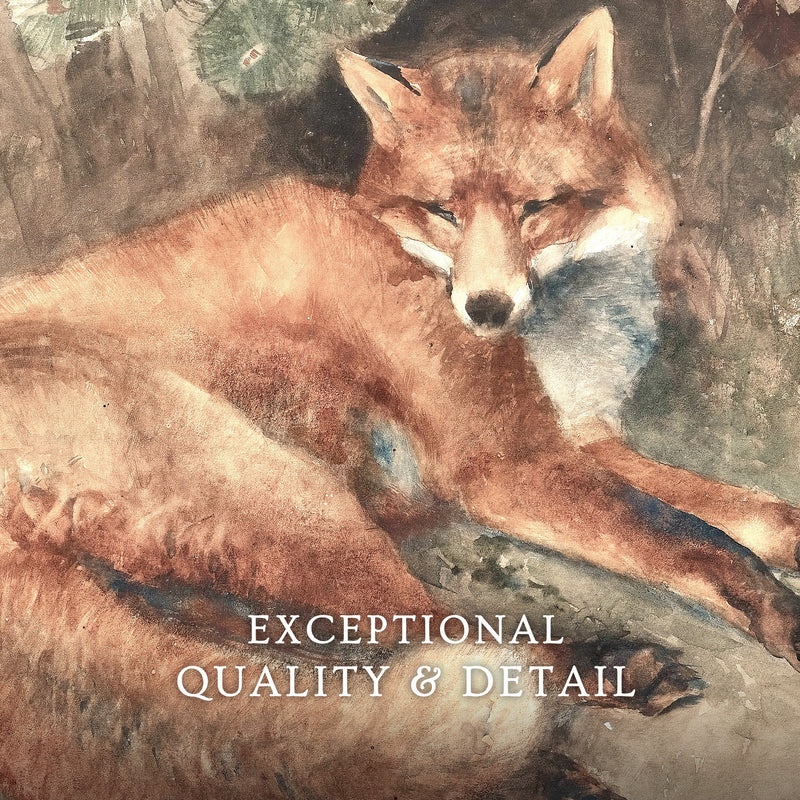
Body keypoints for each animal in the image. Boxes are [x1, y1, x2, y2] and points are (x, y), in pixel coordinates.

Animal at [0, 7, 797, 798]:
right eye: (443, 210)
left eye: (535, 207)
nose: (484, 307)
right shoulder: (506, 466)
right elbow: (697, 540)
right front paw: (782, 614)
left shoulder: (577, 437)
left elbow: (741, 516)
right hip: (293, 497)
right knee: (437, 635)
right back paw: (603, 678)